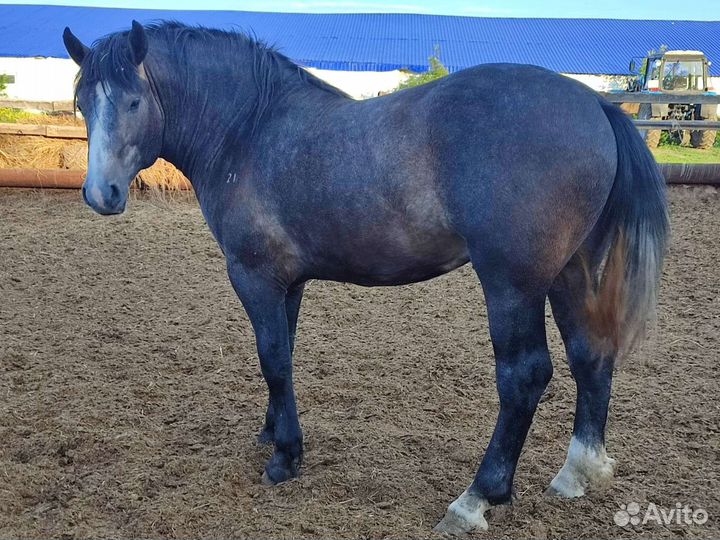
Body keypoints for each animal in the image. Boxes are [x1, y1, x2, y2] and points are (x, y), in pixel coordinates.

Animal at [62, 21, 668, 534]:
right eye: (82, 104)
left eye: (134, 100)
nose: (100, 194)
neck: (249, 132)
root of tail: (594, 102)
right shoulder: (288, 285)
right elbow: (282, 355)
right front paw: (271, 433)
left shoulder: (254, 277)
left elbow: (272, 358)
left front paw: (285, 457)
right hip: (571, 273)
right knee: (590, 355)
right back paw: (578, 472)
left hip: (512, 286)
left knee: (524, 376)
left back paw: (476, 498)